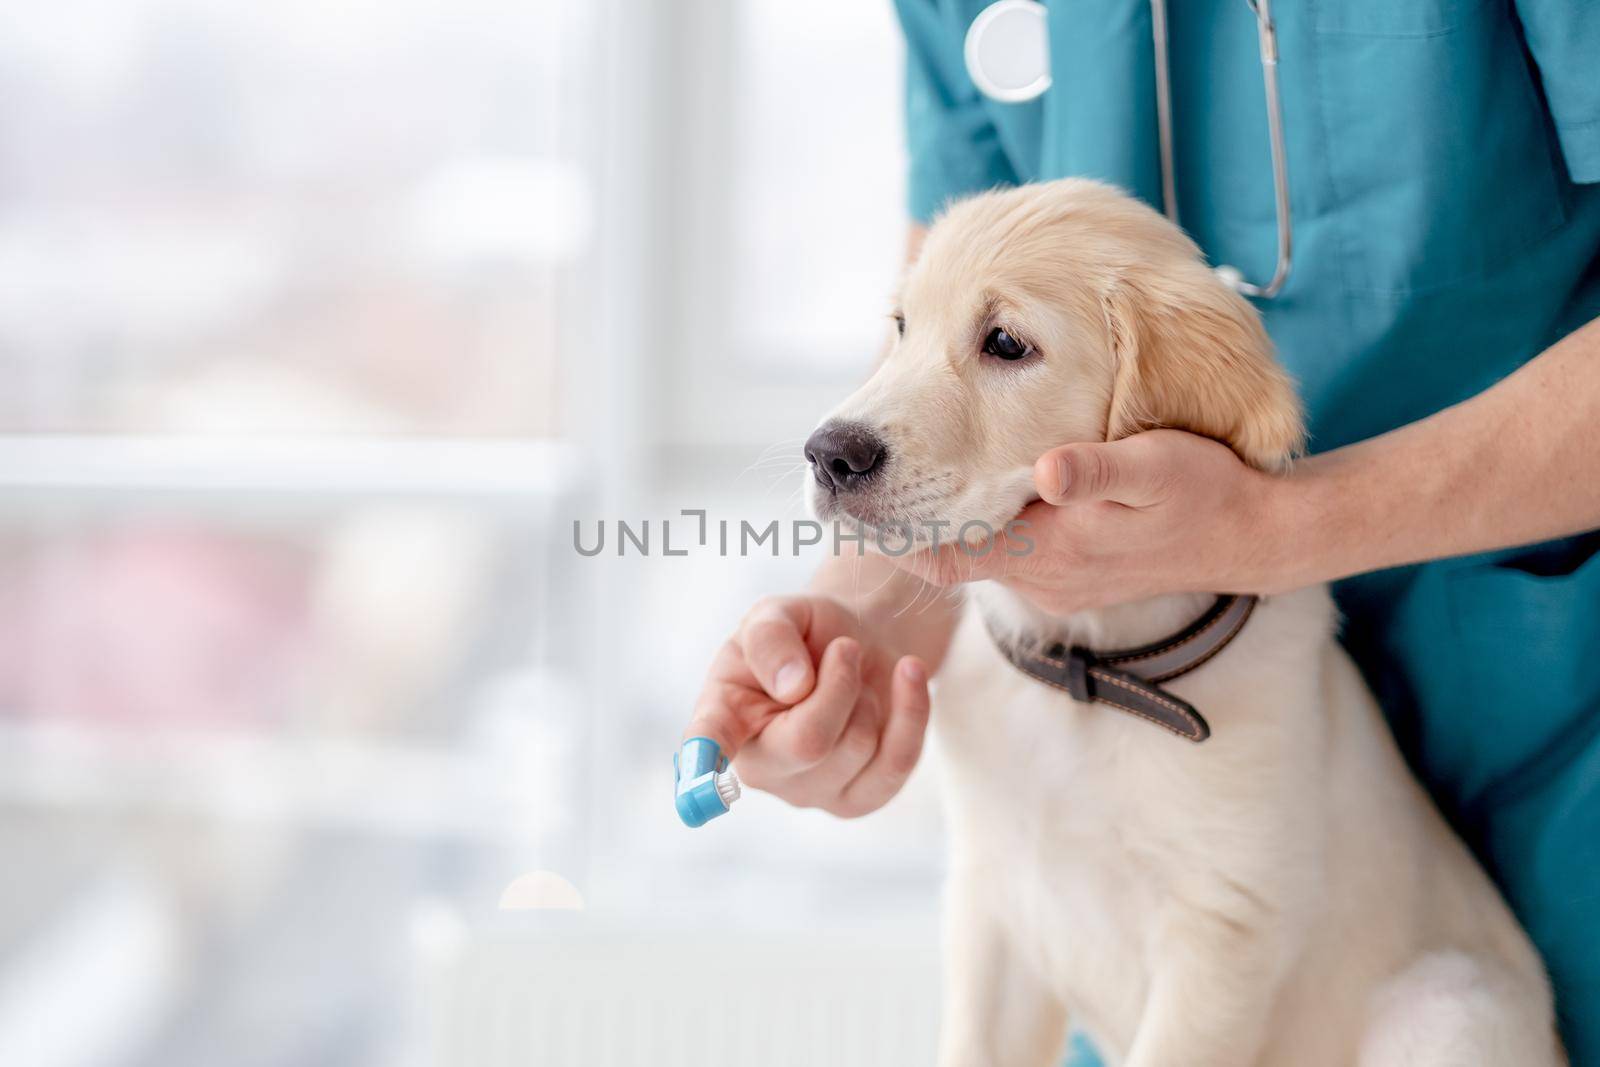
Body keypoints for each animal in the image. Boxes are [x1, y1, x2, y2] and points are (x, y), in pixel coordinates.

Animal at [806, 181, 1555, 1067]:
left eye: (1006, 343)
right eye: (901, 326)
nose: (827, 453)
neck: (1091, 671)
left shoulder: (1224, 934)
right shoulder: (992, 909)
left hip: (1447, 1008)